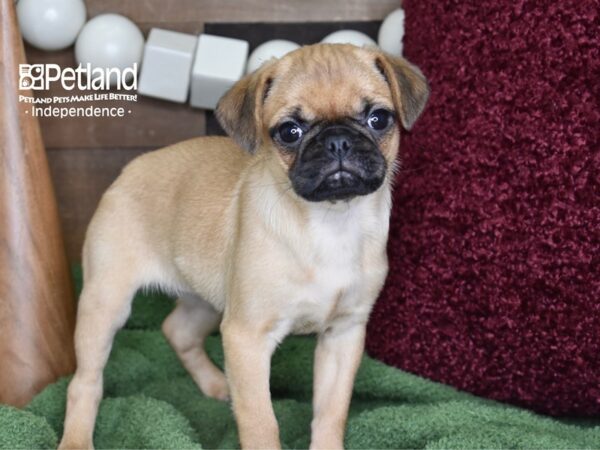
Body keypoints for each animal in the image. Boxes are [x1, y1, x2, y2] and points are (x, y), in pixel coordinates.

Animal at [58, 43, 426, 450]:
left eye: (379, 119)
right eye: (290, 131)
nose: (337, 140)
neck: (331, 222)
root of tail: (129, 169)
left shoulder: (343, 335)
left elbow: (331, 413)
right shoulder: (246, 338)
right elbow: (261, 423)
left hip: (207, 299)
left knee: (177, 331)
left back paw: (217, 384)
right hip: (106, 302)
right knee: (85, 382)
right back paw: (76, 439)